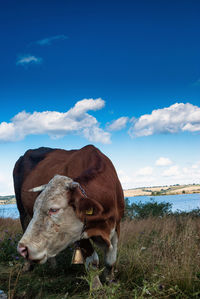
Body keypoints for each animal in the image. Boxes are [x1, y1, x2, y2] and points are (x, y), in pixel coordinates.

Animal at [13, 145, 124, 288]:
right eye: (35, 208)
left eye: (54, 209)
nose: (22, 249)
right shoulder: (79, 233)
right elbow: (92, 261)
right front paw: (97, 287)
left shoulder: (117, 224)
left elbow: (111, 259)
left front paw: (111, 281)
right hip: (21, 210)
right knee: (24, 223)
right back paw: (28, 266)